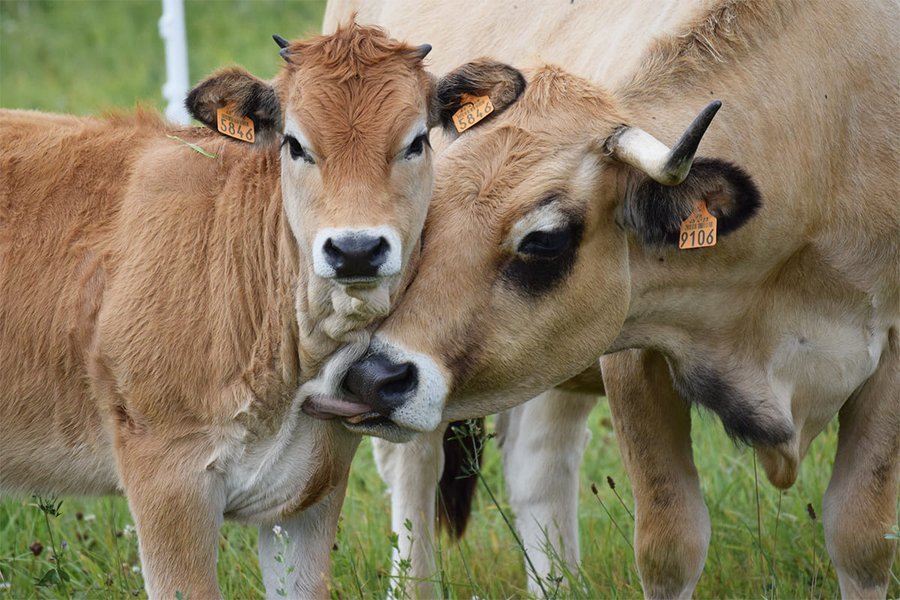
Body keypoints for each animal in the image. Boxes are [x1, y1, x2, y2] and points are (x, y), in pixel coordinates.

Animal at [328, 2, 900, 596]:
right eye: (431, 206)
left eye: (545, 239)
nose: (372, 377)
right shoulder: (631, 356)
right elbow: (671, 545)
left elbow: (862, 538)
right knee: (415, 474)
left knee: (539, 468)